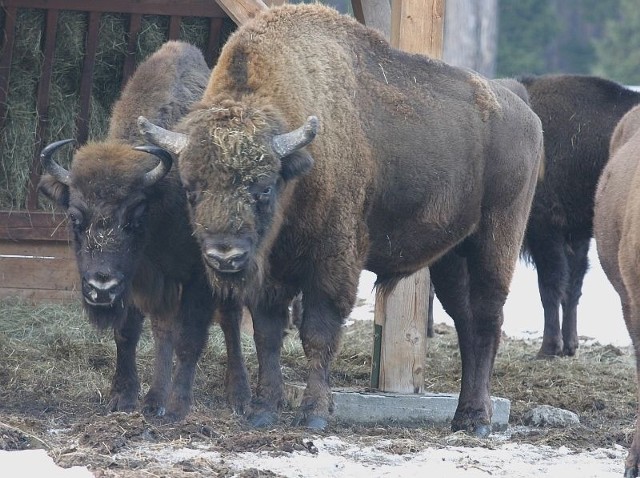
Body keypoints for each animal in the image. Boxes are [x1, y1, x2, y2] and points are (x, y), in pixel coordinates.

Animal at [138, 3, 544, 436]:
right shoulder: (271, 274)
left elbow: (319, 332)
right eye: (191, 189)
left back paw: (479, 420)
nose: (224, 256)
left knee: (486, 320)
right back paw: (462, 417)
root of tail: (525, 113)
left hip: (496, 241)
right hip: (452, 257)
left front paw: (314, 413)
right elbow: (267, 335)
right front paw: (263, 411)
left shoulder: (333, 261)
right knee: (466, 323)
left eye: (262, 187)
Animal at [516, 74, 640, 356]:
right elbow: (572, 288)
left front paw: (548, 348)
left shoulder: (546, 228)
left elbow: (550, 287)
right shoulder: (575, 235)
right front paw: (569, 345)